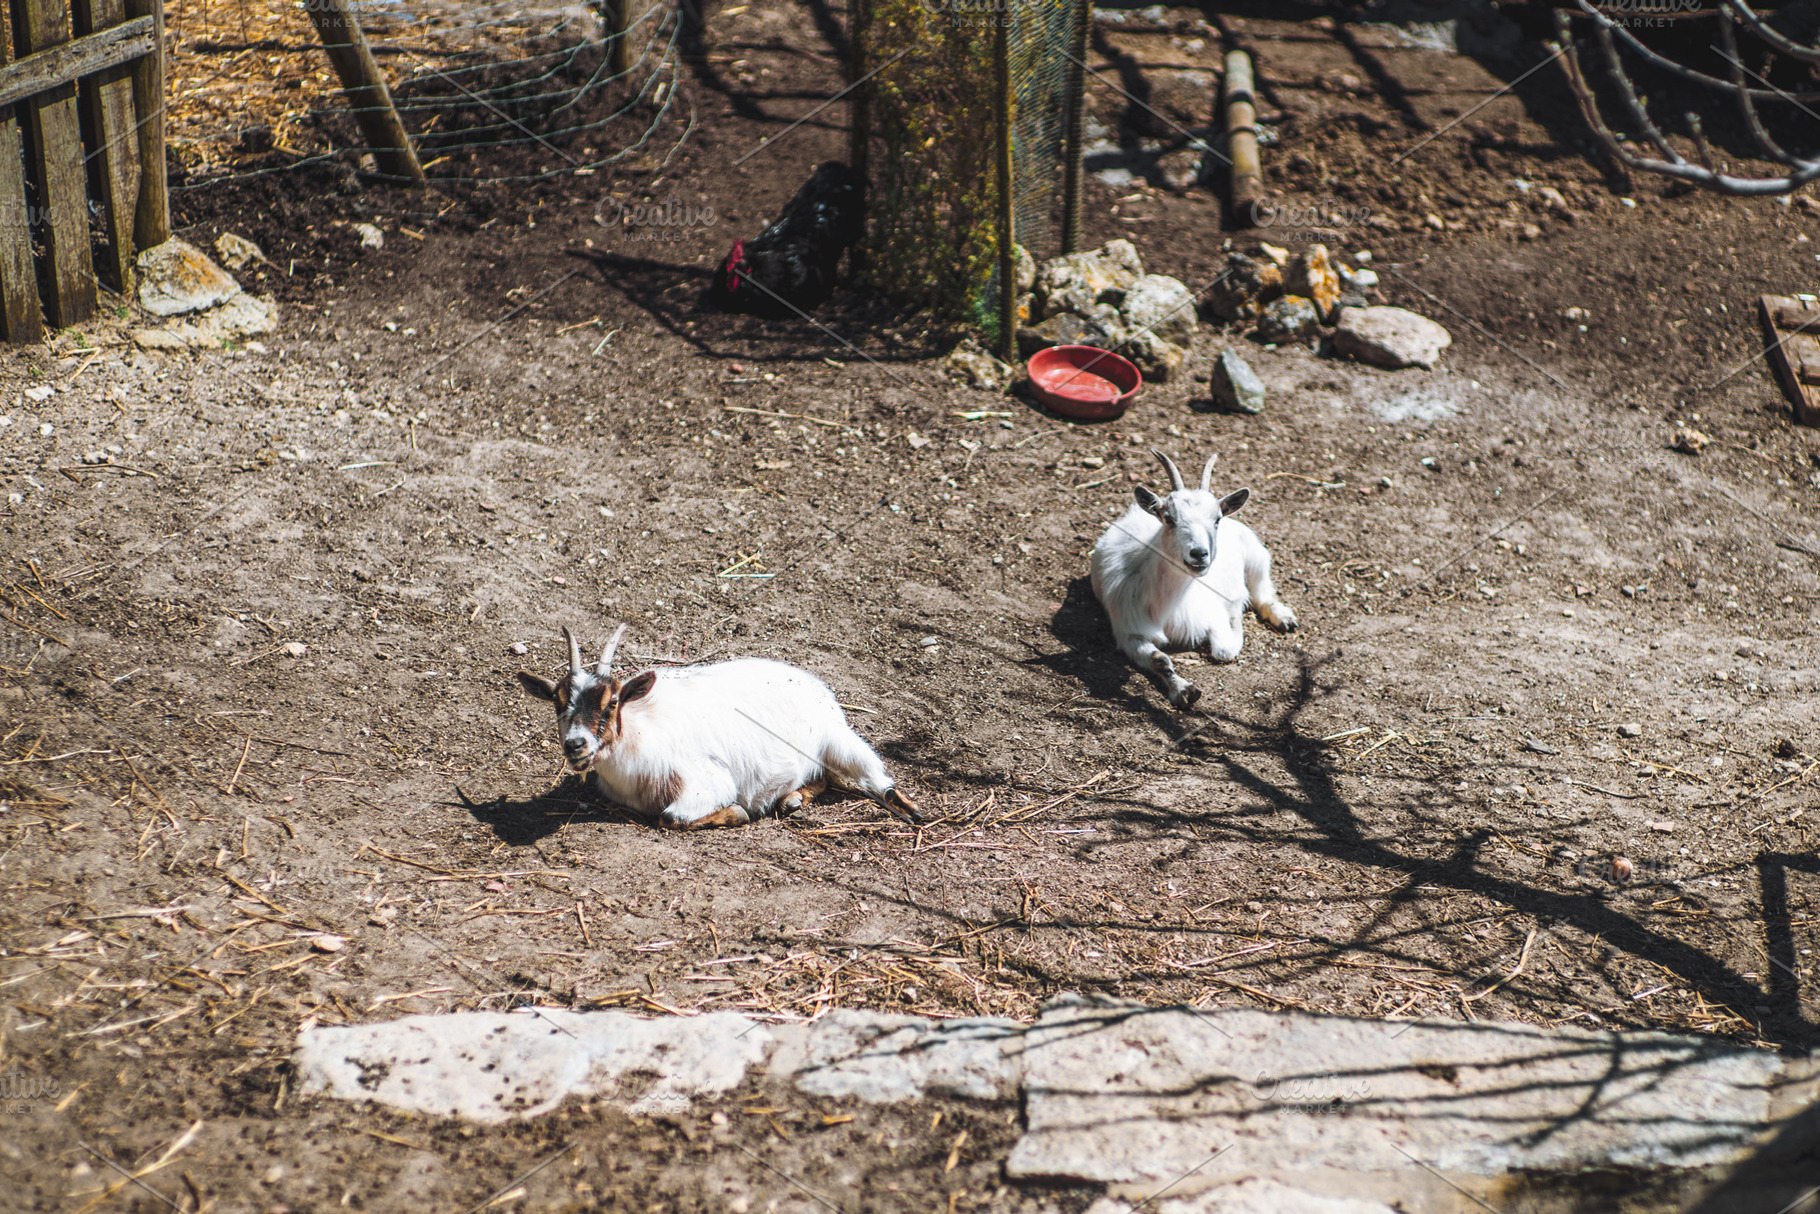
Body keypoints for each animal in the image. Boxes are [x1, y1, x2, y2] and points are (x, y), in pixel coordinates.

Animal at [516, 626, 922, 830]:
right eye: (557, 702)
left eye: (612, 702)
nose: (576, 745)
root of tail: (816, 685)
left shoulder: (708, 783)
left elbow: (671, 817)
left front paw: (737, 814)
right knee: (824, 778)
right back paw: (791, 799)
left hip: (839, 740)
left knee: (879, 781)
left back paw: (913, 813)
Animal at [1089, 449, 1297, 710]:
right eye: (1169, 518)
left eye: (1217, 519)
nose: (1199, 553)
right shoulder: (1129, 631)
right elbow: (1159, 659)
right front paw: (1184, 690)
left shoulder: (1213, 617)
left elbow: (1224, 649)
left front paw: (1236, 615)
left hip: (1255, 554)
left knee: (1262, 590)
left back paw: (1283, 617)